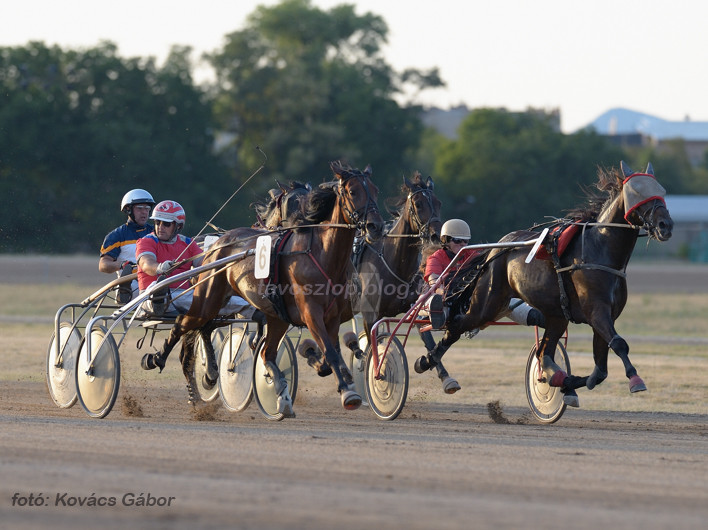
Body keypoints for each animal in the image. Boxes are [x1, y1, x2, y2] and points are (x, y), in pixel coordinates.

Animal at [146, 159, 384, 414]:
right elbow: (329, 351)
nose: (376, 226)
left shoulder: (331, 316)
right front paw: (348, 392)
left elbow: (332, 353)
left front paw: (335, 371)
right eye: (352, 191)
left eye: (375, 191)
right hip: (207, 300)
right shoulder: (310, 312)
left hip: (269, 315)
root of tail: (213, 246)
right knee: (186, 323)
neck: (322, 254)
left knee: (256, 347)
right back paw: (159, 359)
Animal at [420, 161, 676, 404]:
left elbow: (600, 370)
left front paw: (566, 382)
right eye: (638, 192)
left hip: (555, 315)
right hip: (488, 302)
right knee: (456, 325)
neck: (600, 249)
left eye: (661, 191)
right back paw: (426, 360)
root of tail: (496, 248)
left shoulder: (604, 316)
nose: (666, 225)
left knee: (544, 351)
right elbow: (619, 344)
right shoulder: (597, 311)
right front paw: (635, 379)